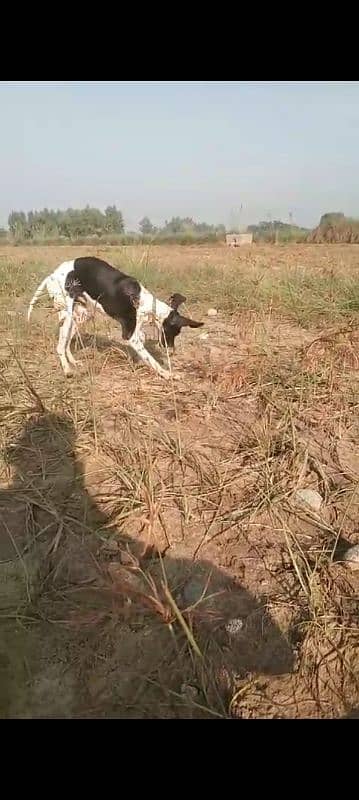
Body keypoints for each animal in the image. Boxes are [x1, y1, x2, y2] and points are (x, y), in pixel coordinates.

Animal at [27, 258, 204, 380]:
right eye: (174, 332)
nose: (171, 351)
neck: (144, 302)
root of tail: (51, 275)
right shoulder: (130, 336)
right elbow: (151, 360)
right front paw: (167, 374)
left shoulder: (138, 332)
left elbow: (143, 344)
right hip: (67, 316)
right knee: (59, 346)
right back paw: (67, 369)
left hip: (81, 316)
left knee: (66, 344)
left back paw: (74, 362)